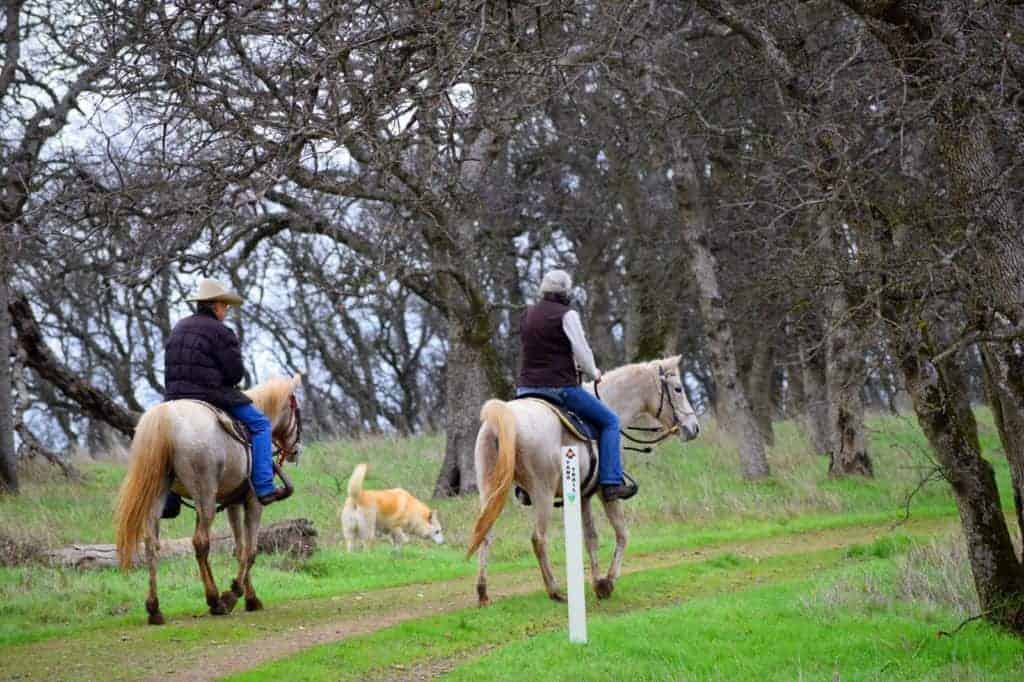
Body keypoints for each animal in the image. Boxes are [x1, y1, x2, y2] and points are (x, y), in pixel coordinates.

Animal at [114, 374, 302, 625]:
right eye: (296, 411)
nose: (295, 451)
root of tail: (166, 417)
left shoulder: (233, 503)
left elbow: (239, 549)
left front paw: (250, 598)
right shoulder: (253, 502)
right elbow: (250, 551)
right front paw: (234, 594)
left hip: (162, 496)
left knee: (152, 543)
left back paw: (155, 609)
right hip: (205, 496)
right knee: (201, 541)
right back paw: (215, 600)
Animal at [467, 356, 700, 605]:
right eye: (678, 388)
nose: (694, 428)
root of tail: (504, 417)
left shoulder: (583, 495)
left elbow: (591, 538)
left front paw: (597, 581)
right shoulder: (605, 494)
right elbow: (622, 534)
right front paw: (607, 582)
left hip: (491, 492)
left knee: (485, 533)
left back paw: (482, 592)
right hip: (542, 493)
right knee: (538, 538)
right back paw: (555, 591)